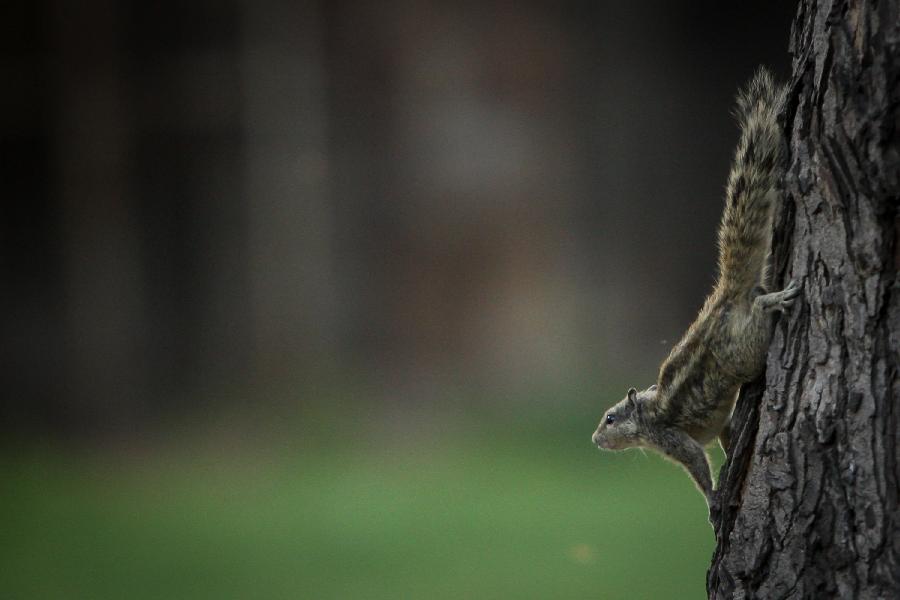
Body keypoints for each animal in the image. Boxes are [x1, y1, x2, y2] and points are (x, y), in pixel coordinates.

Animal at [592, 67, 800, 516]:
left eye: (611, 419)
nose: (596, 439)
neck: (650, 412)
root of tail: (725, 296)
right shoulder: (715, 426)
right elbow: (724, 435)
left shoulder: (675, 441)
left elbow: (697, 465)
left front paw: (713, 500)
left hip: (743, 351)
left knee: (757, 315)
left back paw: (774, 300)